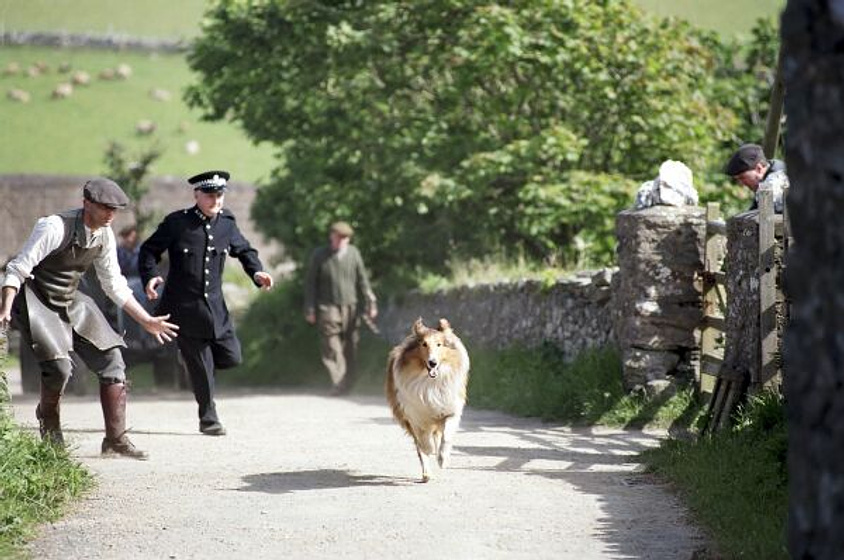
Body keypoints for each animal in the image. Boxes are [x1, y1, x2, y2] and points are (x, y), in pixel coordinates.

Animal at [386, 320, 472, 482]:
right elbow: (424, 444)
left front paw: (443, 459)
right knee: (421, 446)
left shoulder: (450, 412)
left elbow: (446, 436)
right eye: (424, 344)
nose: (433, 363)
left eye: (439, 344)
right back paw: (426, 474)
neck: (430, 381)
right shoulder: (415, 417)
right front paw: (430, 450)